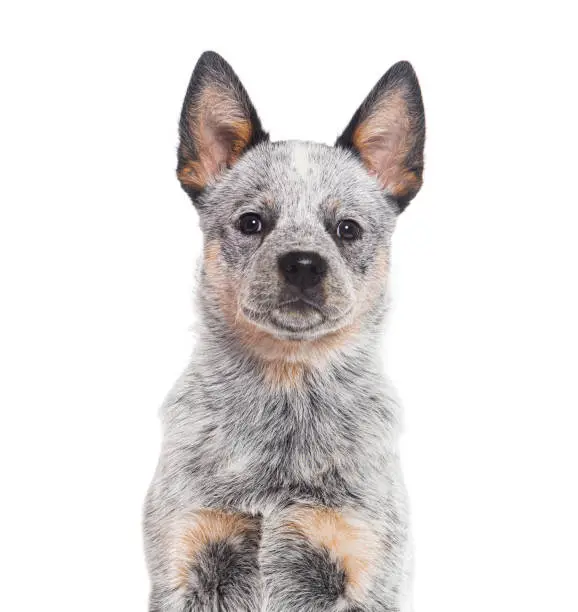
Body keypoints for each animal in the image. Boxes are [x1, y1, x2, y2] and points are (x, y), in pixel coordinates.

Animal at [144, 50, 424, 608]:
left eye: (347, 229)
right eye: (252, 222)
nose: (302, 264)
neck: (287, 391)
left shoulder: (363, 564)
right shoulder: (185, 555)